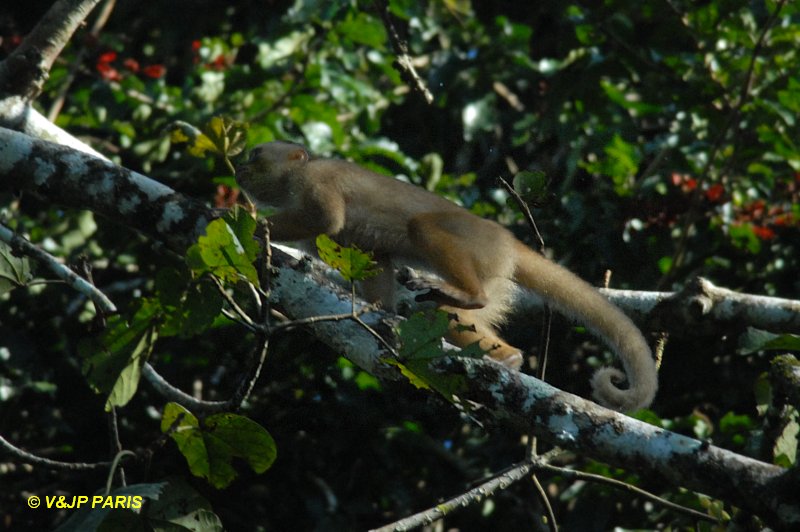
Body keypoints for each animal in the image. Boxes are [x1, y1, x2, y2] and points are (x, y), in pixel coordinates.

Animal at [234, 140, 660, 412]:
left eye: (255, 155)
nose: (237, 166)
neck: (293, 181)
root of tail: (508, 242)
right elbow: (375, 272)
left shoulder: (316, 180)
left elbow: (326, 220)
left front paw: (241, 220)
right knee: (432, 314)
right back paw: (506, 356)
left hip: (479, 245)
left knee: (425, 229)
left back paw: (469, 297)